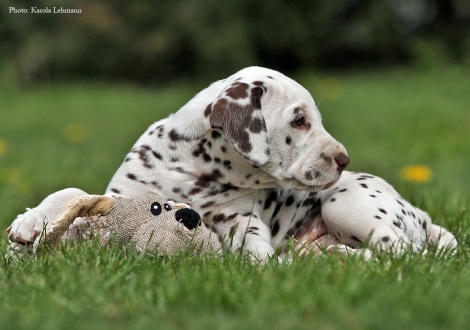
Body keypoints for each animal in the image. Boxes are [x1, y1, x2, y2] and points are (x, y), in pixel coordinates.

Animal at [6, 65, 456, 260]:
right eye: (299, 120)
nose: (343, 159)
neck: (191, 173)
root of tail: (419, 214)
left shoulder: (243, 228)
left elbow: (247, 249)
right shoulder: (121, 197)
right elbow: (73, 194)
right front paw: (31, 223)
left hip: (344, 202)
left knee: (401, 253)